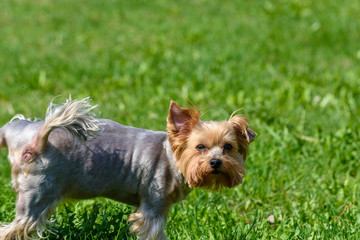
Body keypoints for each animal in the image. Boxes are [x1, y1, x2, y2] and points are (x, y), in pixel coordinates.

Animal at [0, 96, 256, 239]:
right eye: (200, 147)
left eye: (228, 147)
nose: (216, 162)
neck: (171, 158)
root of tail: (33, 139)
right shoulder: (153, 205)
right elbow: (153, 231)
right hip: (40, 191)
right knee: (18, 226)